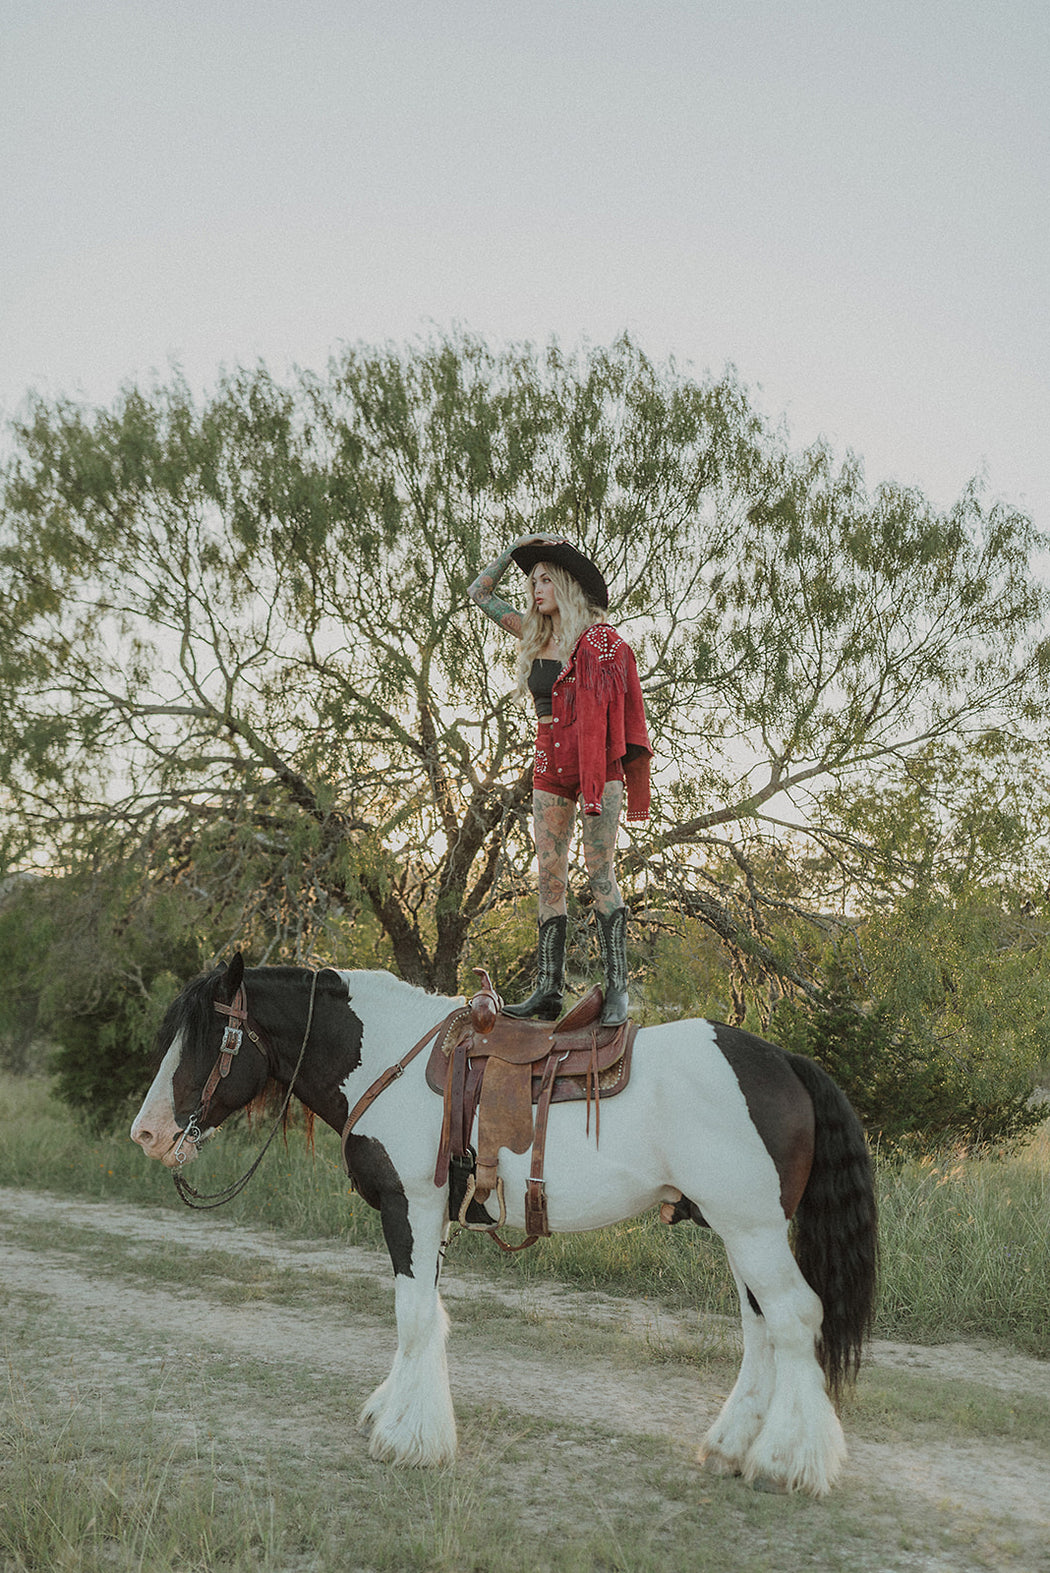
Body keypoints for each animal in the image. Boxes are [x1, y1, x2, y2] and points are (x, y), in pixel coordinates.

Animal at [133, 950, 886, 1491]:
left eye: (211, 1036)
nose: (147, 1133)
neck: (387, 1059)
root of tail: (784, 1059)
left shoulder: (410, 1205)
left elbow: (413, 1316)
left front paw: (407, 1439)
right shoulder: (430, 1216)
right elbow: (425, 1316)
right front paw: (399, 1413)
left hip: (753, 1231)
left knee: (795, 1319)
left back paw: (789, 1462)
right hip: (737, 1231)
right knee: (761, 1329)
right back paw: (732, 1447)